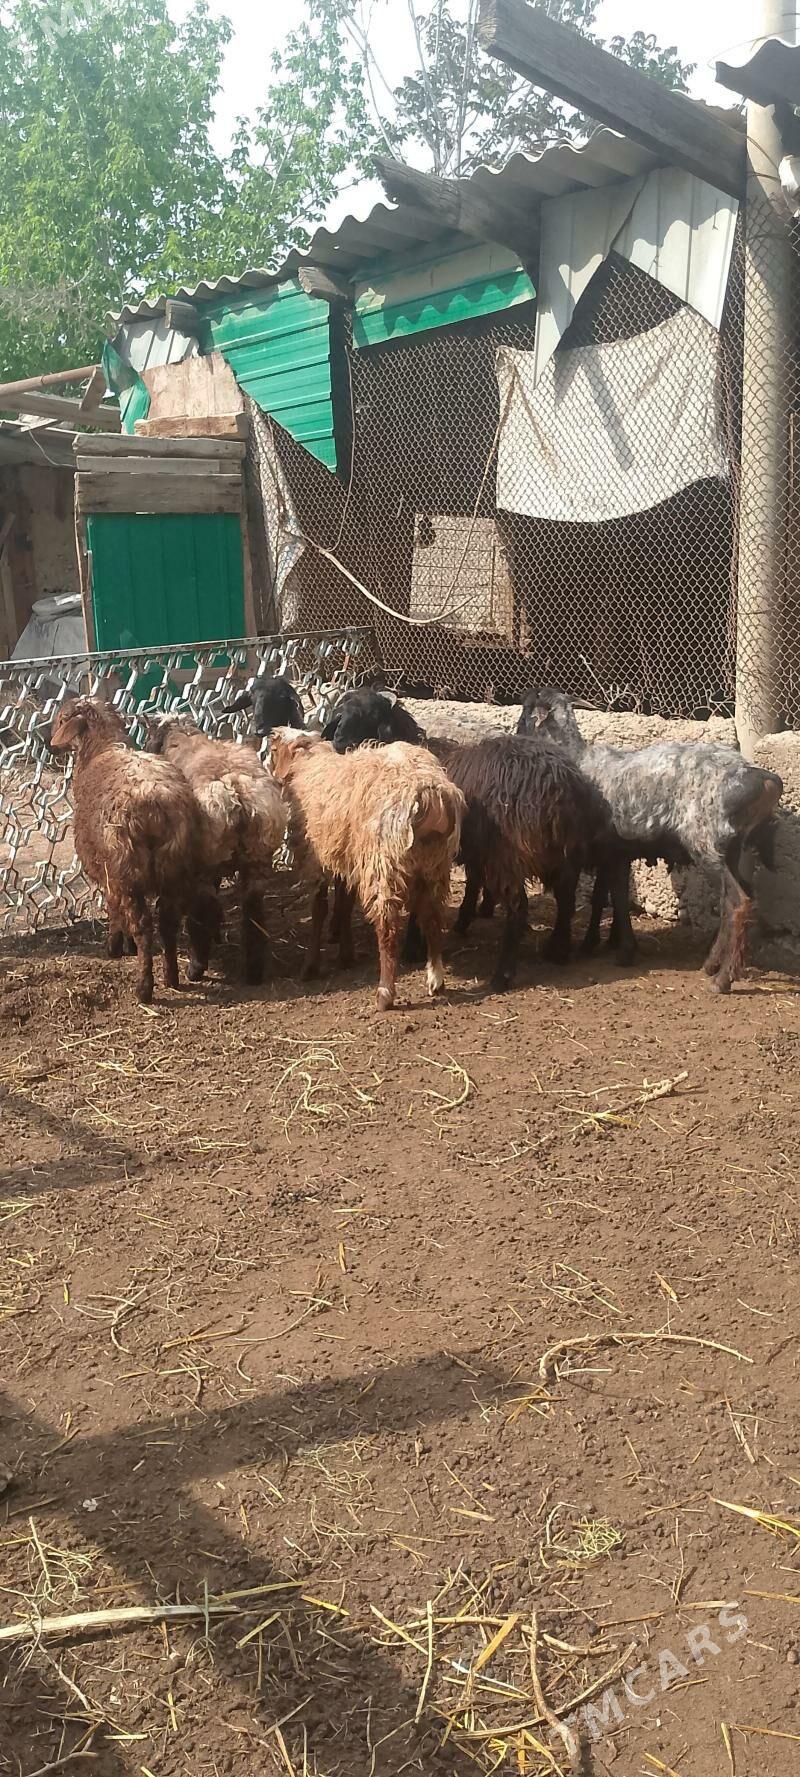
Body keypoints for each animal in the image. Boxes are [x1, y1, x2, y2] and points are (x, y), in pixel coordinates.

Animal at [49, 697, 210, 1004]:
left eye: (62, 718)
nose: (51, 745)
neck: (101, 748)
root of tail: (155, 802)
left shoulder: (104, 871)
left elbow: (112, 910)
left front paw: (115, 947)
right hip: (173, 865)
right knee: (167, 921)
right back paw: (171, 977)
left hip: (126, 869)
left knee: (143, 926)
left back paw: (144, 988)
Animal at [145, 715, 286, 984]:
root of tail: (236, 789)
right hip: (257, 859)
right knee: (253, 912)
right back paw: (253, 970)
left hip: (204, 864)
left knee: (203, 911)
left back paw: (196, 967)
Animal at [268, 728, 464, 1011]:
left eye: (273, 750)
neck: (309, 763)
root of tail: (429, 793)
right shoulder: (347, 858)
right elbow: (344, 905)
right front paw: (345, 954)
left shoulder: (315, 858)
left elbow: (319, 909)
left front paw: (311, 966)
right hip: (434, 865)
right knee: (432, 918)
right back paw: (435, 979)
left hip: (383, 863)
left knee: (388, 926)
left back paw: (385, 994)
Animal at [410, 732, 631, 991]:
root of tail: (557, 785)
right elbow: (472, 882)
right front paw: (464, 919)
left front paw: (412, 947)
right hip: (563, 856)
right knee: (566, 900)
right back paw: (558, 950)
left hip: (508, 856)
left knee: (518, 907)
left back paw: (503, 975)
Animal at [518, 687, 783, 993]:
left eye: (526, 710)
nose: (516, 733)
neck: (579, 760)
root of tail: (764, 779)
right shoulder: (611, 854)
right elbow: (603, 897)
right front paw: (596, 945)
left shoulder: (610, 853)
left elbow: (617, 898)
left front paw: (624, 952)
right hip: (730, 847)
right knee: (736, 897)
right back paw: (711, 965)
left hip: (705, 843)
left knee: (737, 901)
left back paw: (722, 979)